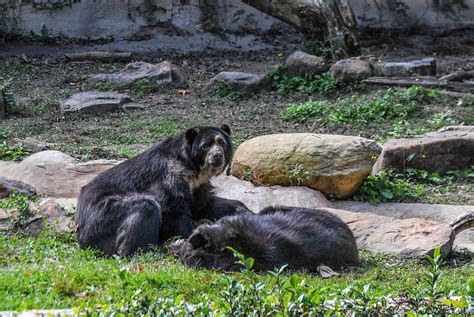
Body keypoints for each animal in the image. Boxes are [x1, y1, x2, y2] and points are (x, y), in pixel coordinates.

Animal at [76, 124, 250, 256]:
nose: (217, 156)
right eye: (206, 146)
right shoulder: (168, 177)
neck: (192, 167)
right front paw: (190, 236)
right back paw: (142, 252)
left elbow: (204, 204)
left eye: (222, 143)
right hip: (104, 214)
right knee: (146, 208)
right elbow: (173, 209)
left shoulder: (197, 186)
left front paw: (243, 212)